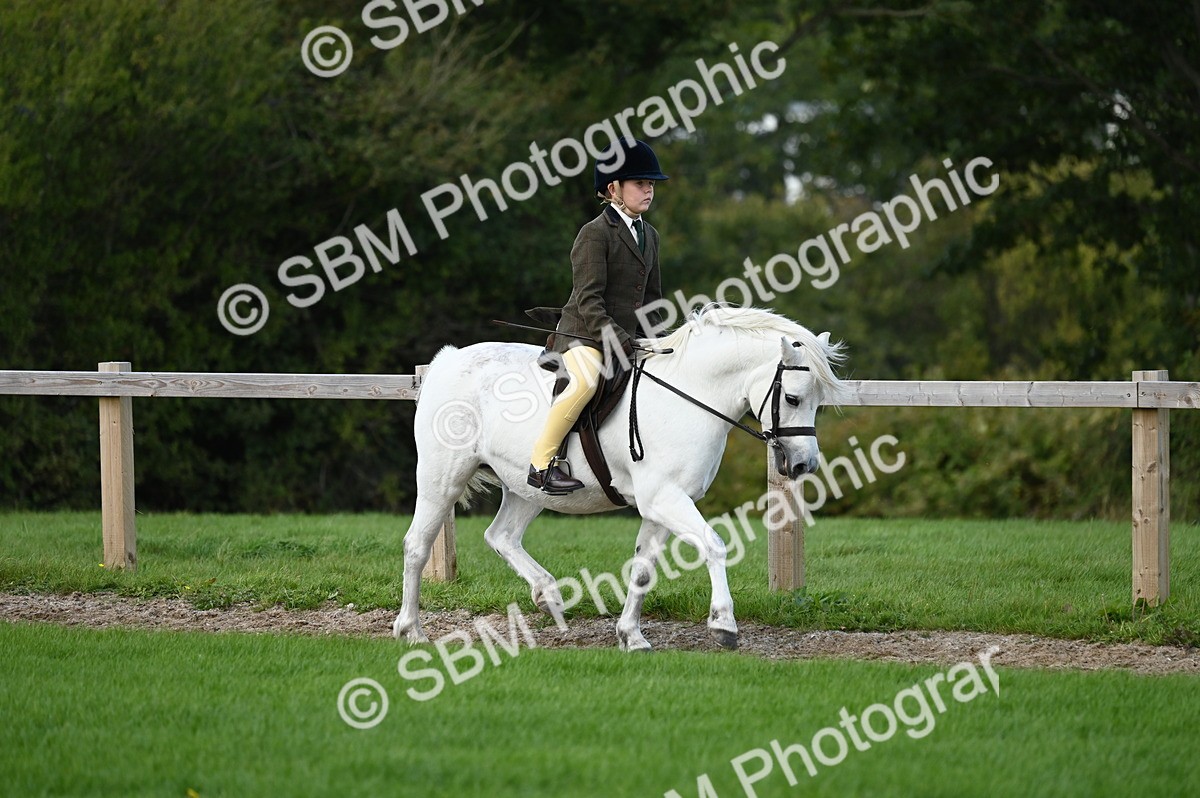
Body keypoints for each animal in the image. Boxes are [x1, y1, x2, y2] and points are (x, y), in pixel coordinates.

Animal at [393, 304, 847, 651]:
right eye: (793, 398)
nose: (805, 465)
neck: (688, 395)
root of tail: (448, 360)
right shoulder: (665, 498)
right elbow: (715, 545)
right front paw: (723, 625)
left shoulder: (663, 504)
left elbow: (643, 569)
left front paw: (632, 636)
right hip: (442, 477)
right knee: (417, 545)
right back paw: (411, 630)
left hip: (528, 488)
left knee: (501, 535)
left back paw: (548, 596)